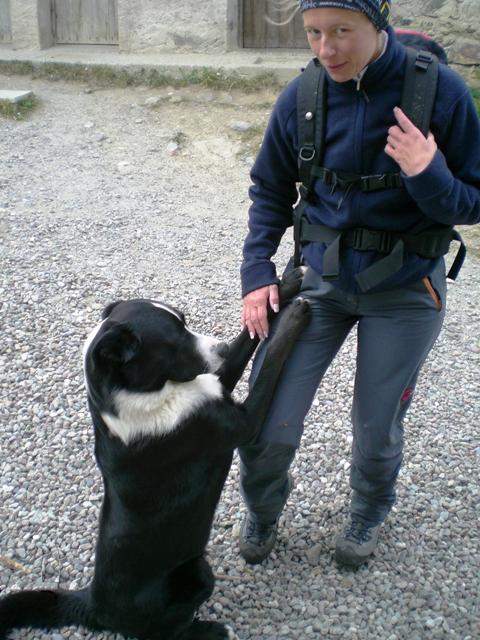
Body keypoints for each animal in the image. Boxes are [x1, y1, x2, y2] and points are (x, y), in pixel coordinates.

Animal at [0, 270, 312, 640]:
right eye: (174, 341)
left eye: (186, 323)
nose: (219, 349)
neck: (144, 394)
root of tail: (94, 603)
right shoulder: (243, 421)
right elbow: (270, 365)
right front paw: (294, 317)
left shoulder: (217, 379)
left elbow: (246, 340)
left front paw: (285, 283)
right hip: (196, 574)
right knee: (170, 630)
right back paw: (211, 629)